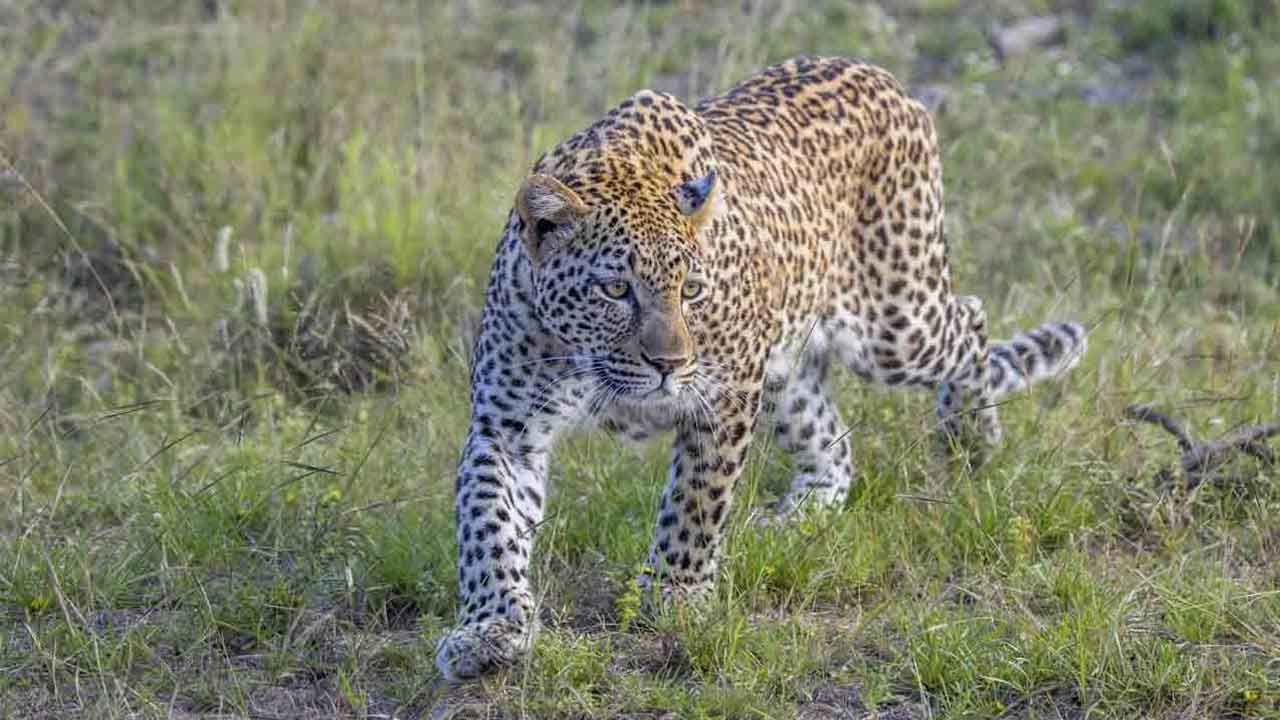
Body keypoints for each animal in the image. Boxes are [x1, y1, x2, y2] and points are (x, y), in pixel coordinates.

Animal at [435, 56, 1087, 682]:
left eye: (692, 290)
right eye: (615, 289)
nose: (670, 364)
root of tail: (887, 80)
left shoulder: (722, 395)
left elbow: (695, 502)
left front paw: (674, 594)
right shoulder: (506, 427)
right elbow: (488, 525)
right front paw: (490, 628)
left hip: (895, 324)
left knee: (970, 316)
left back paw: (971, 438)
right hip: (788, 370)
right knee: (834, 445)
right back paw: (797, 516)